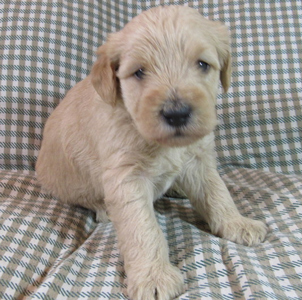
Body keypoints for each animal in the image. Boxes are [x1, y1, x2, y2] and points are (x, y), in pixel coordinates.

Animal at [36, 5, 268, 300]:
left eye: (202, 64)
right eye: (139, 72)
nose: (176, 113)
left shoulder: (198, 160)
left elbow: (217, 193)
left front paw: (236, 222)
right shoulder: (126, 177)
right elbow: (142, 228)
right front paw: (154, 275)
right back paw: (104, 208)